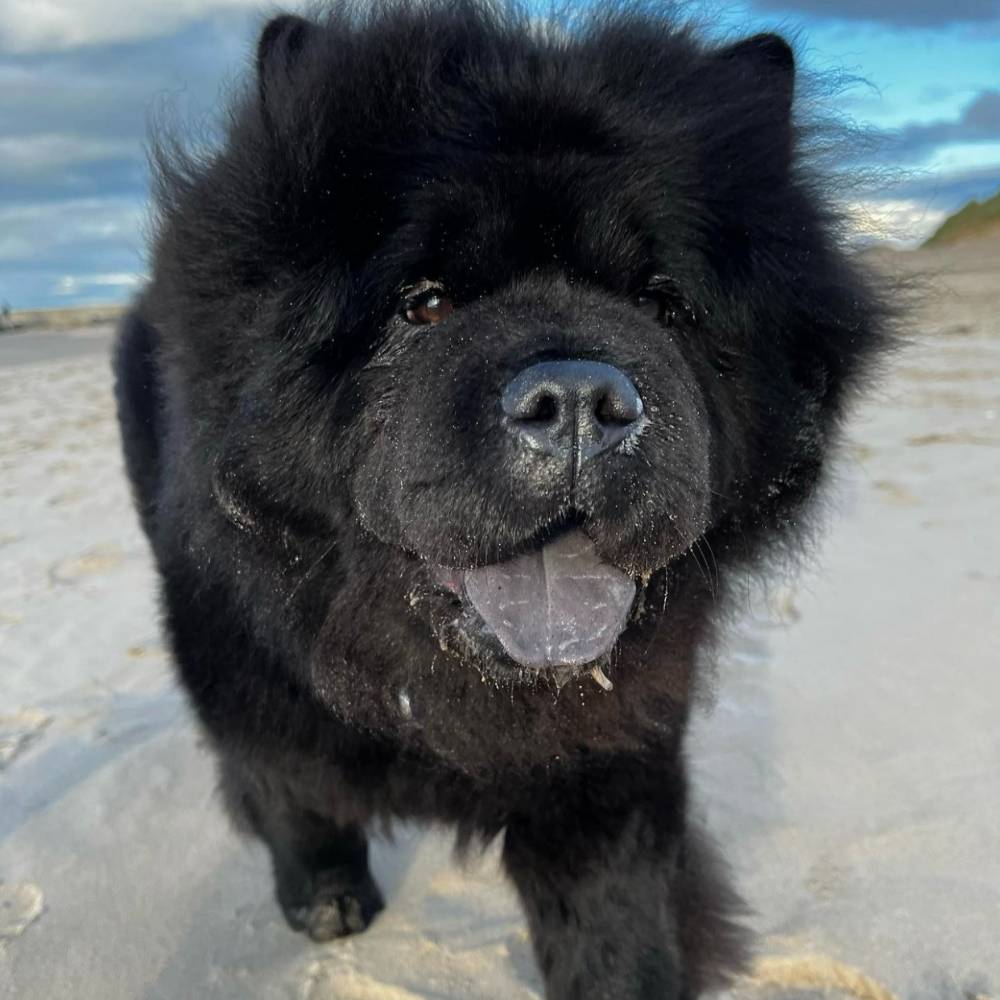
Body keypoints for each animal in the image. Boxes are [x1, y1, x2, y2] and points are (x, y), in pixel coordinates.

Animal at [113, 3, 888, 996]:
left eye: (661, 303)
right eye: (426, 304)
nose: (581, 402)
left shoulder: (615, 766)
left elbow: (612, 912)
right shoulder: (253, 692)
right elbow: (295, 799)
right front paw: (326, 898)